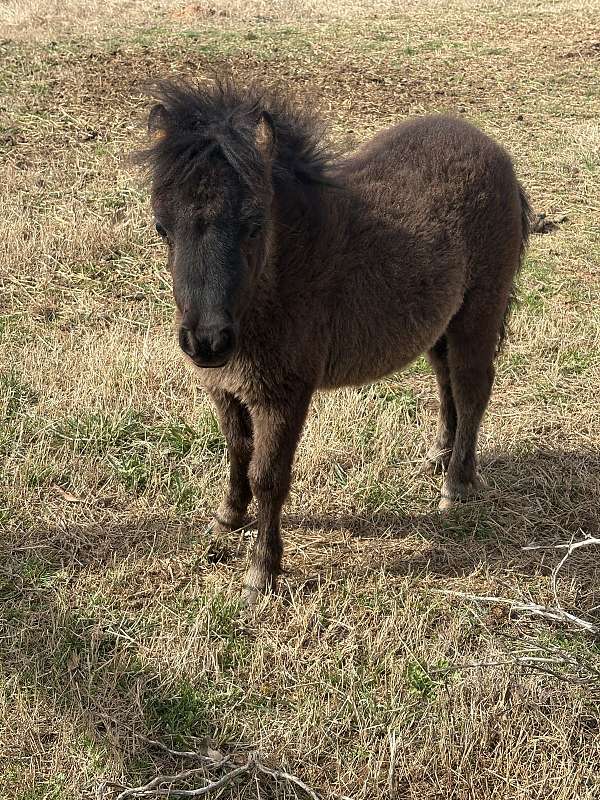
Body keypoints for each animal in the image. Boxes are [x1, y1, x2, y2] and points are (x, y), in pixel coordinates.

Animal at [135, 80, 530, 605]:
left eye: (254, 224)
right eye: (162, 227)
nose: (207, 342)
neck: (282, 276)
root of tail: (494, 150)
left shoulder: (284, 395)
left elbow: (268, 476)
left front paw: (261, 574)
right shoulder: (225, 388)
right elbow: (237, 452)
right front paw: (227, 519)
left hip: (478, 312)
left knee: (472, 390)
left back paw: (455, 486)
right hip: (438, 323)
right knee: (446, 381)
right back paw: (438, 456)